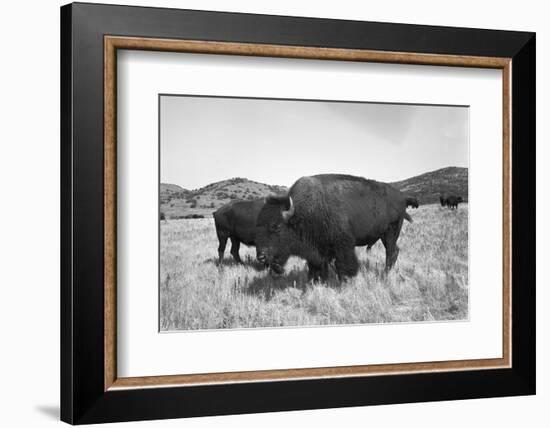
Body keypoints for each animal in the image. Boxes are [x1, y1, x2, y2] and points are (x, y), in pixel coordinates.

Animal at [256, 174, 412, 280]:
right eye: (258, 226)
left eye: (277, 226)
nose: (261, 257)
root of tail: (402, 197)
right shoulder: (317, 252)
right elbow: (317, 268)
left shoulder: (343, 246)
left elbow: (343, 266)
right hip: (385, 235)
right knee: (395, 251)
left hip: (391, 232)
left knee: (390, 252)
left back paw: (384, 275)